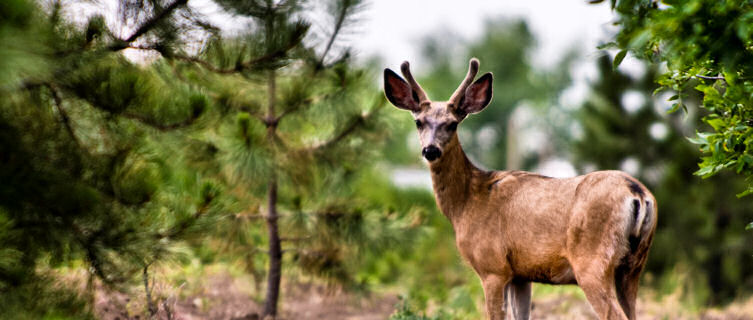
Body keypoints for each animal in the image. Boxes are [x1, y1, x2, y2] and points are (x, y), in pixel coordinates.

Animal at [384, 58, 656, 320]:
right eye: (419, 122)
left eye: (451, 124)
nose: (430, 150)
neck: (466, 203)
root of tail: (638, 193)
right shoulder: (521, 274)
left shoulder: (492, 267)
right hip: (633, 266)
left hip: (593, 260)